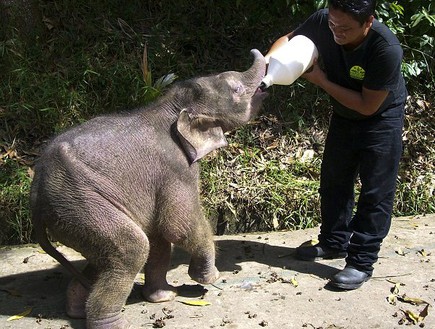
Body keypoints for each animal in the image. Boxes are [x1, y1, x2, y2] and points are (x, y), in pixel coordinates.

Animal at [30, 48, 268, 328]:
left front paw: (164, 297)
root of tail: (36, 192)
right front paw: (209, 278)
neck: (169, 106)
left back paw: (77, 310)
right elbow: (177, 225)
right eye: (237, 89)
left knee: (107, 256)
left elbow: (160, 237)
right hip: (80, 203)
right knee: (131, 250)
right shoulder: (176, 169)